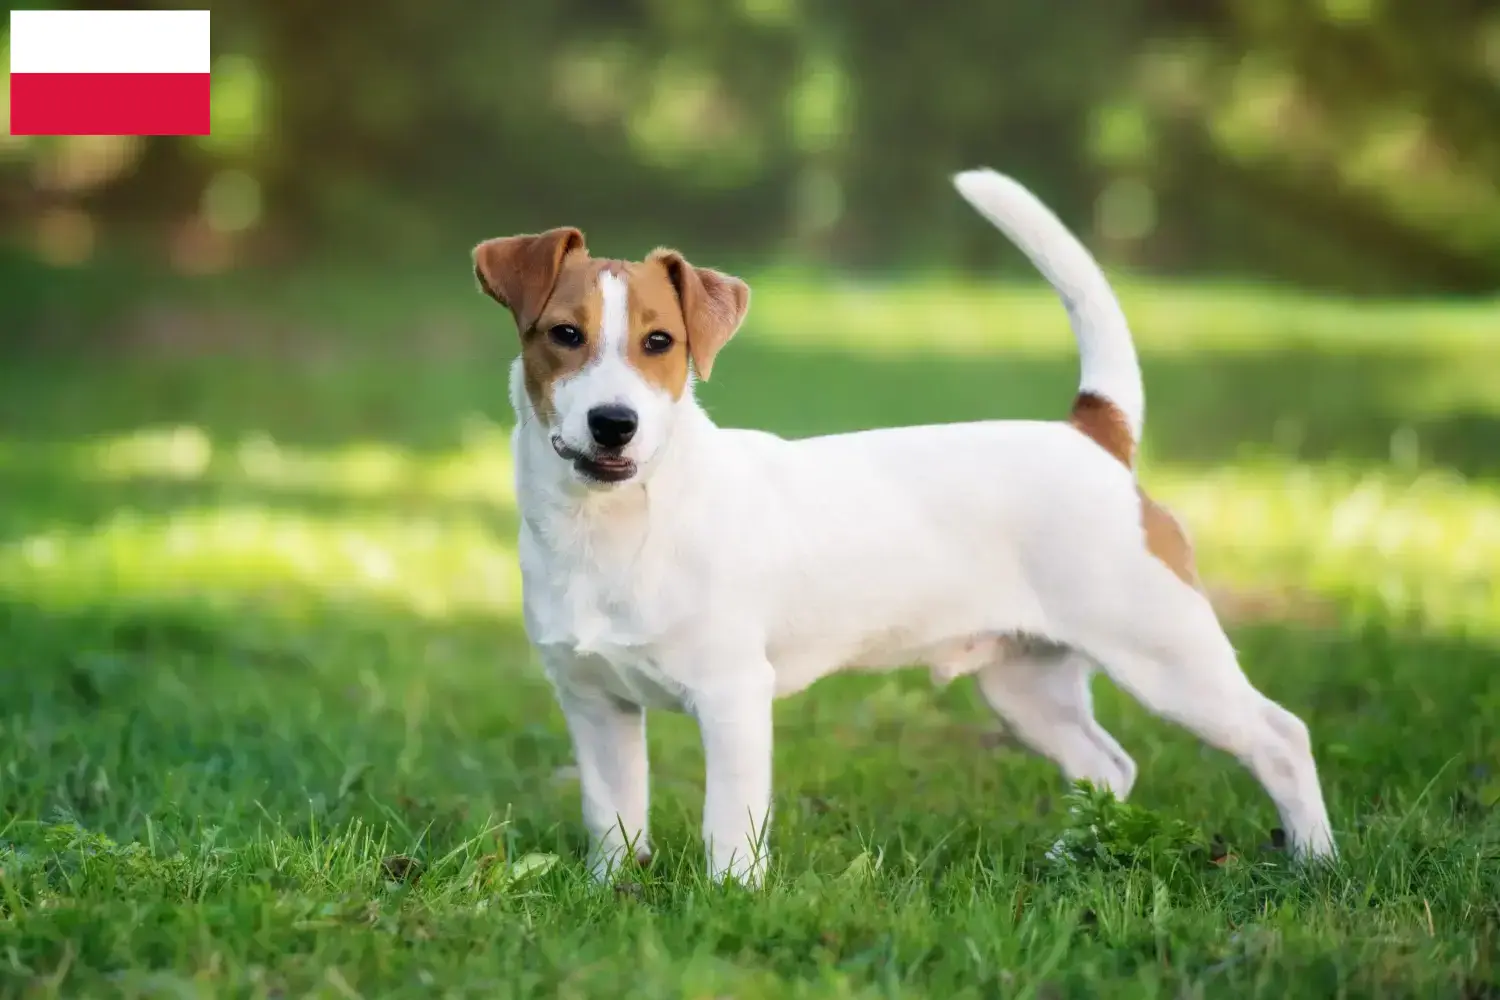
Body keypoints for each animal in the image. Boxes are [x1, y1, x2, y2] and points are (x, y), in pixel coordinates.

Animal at [471, 167, 1338, 887]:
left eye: (661, 343)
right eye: (565, 335)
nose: (613, 423)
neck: (616, 528)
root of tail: (1093, 435)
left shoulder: (733, 698)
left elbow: (729, 827)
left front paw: (730, 901)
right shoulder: (595, 705)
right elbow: (613, 819)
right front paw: (611, 894)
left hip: (1167, 656)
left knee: (1280, 736)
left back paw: (1316, 863)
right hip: (1027, 686)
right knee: (1106, 768)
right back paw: (1069, 862)